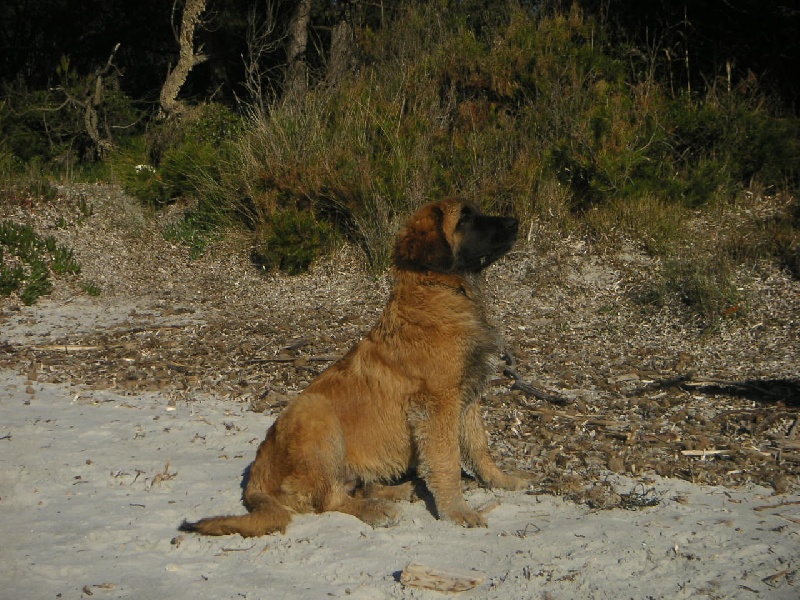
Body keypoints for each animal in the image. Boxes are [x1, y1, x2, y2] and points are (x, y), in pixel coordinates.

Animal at [180, 199, 524, 536]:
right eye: (464, 219)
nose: (514, 221)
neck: (439, 290)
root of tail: (257, 476)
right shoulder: (436, 407)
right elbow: (447, 461)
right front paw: (457, 510)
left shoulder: (468, 400)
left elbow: (480, 447)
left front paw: (503, 481)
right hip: (314, 413)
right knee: (328, 499)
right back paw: (377, 509)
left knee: (357, 487)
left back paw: (402, 490)